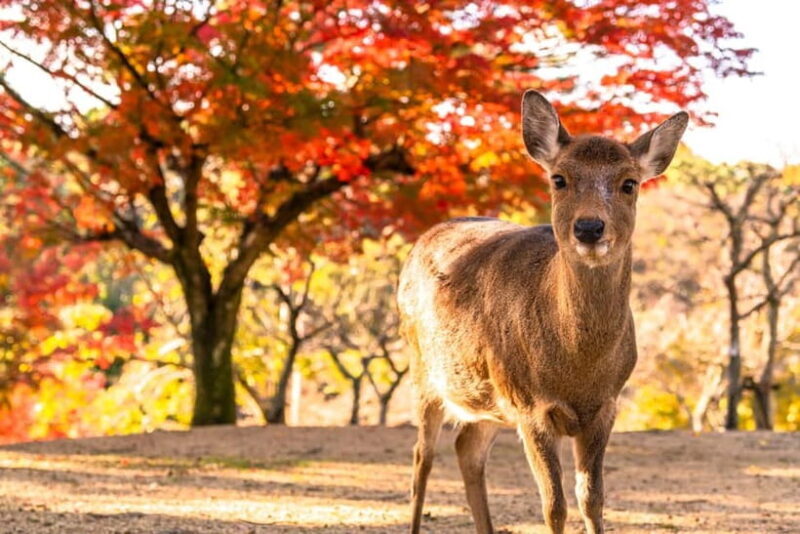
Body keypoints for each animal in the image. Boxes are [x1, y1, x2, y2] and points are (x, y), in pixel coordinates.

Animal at [397, 90, 688, 534]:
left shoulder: (606, 405)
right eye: (559, 179)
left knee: (467, 448)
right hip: (424, 370)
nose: (589, 227)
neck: (577, 369)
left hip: (488, 396)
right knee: (421, 458)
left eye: (629, 183)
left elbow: (592, 500)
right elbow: (554, 505)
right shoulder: (530, 405)